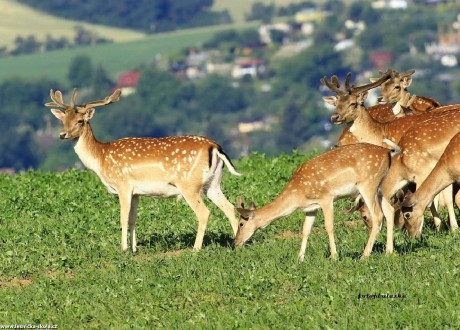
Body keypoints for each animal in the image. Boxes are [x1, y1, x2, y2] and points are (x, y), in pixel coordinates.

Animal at [46, 87, 241, 253]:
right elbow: (133, 219)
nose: (62, 134)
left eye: (80, 121)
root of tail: (215, 147)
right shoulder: (136, 192)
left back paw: (196, 249)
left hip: (189, 184)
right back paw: (236, 244)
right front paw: (134, 249)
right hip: (212, 184)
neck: (101, 159)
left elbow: (123, 218)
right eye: (63, 120)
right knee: (230, 207)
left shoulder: (123, 185)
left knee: (204, 213)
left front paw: (123, 249)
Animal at [234, 143, 398, 262]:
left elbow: (329, 226)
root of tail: (388, 152)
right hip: (379, 187)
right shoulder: (311, 208)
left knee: (377, 216)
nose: (236, 243)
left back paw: (364, 256)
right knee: (390, 210)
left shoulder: (326, 198)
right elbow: (305, 230)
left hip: (368, 184)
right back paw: (388, 252)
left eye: (241, 224)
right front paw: (299, 258)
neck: (298, 195)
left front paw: (334, 256)